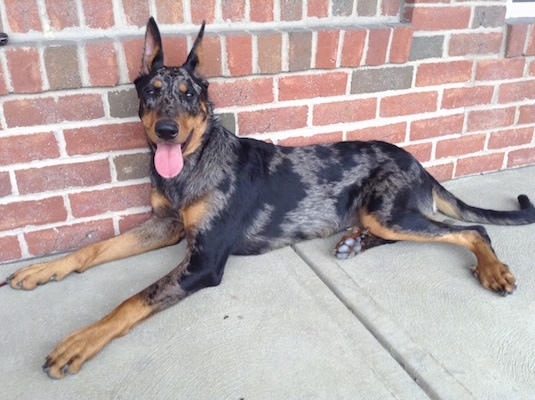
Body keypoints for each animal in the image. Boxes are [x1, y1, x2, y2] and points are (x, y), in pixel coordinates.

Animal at [5, 17, 535, 378]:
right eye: (152, 90)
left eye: (188, 93)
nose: (167, 130)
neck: (192, 165)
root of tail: (419, 164)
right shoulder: (165, 225)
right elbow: (94, 248)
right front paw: (43, 269)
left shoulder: (204, 262)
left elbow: (133, 299)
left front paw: (82, 338)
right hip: (382, 215)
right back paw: (353, 243)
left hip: (388, 211)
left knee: (472, 228)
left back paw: (492, 270)